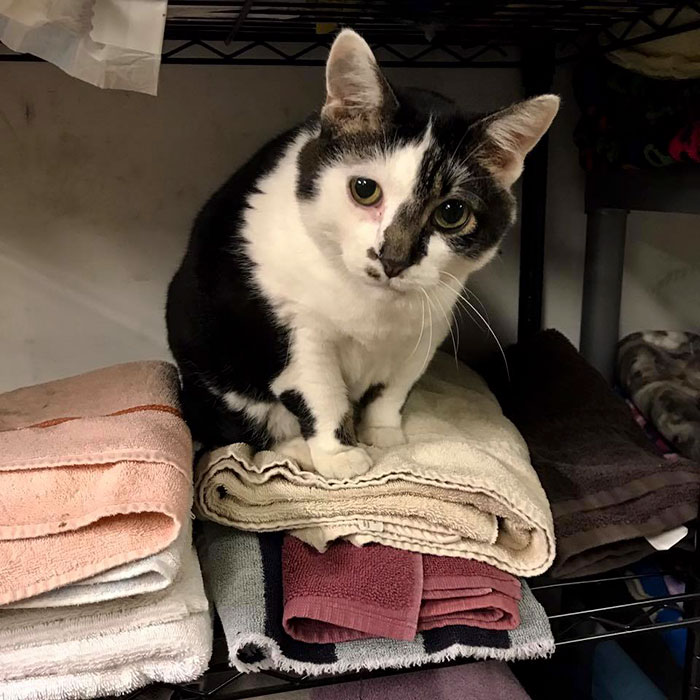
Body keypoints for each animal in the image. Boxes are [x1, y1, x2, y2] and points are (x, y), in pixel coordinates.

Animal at [165, 31, 556, 482]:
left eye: (452, 213)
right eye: (364, 189)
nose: (393, 258)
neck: (373, 308)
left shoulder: (429, 329)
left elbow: (394, 390)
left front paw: (383, 432)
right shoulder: (298, 330)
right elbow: (321, 392)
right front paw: (340, 454)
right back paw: (293, 449)